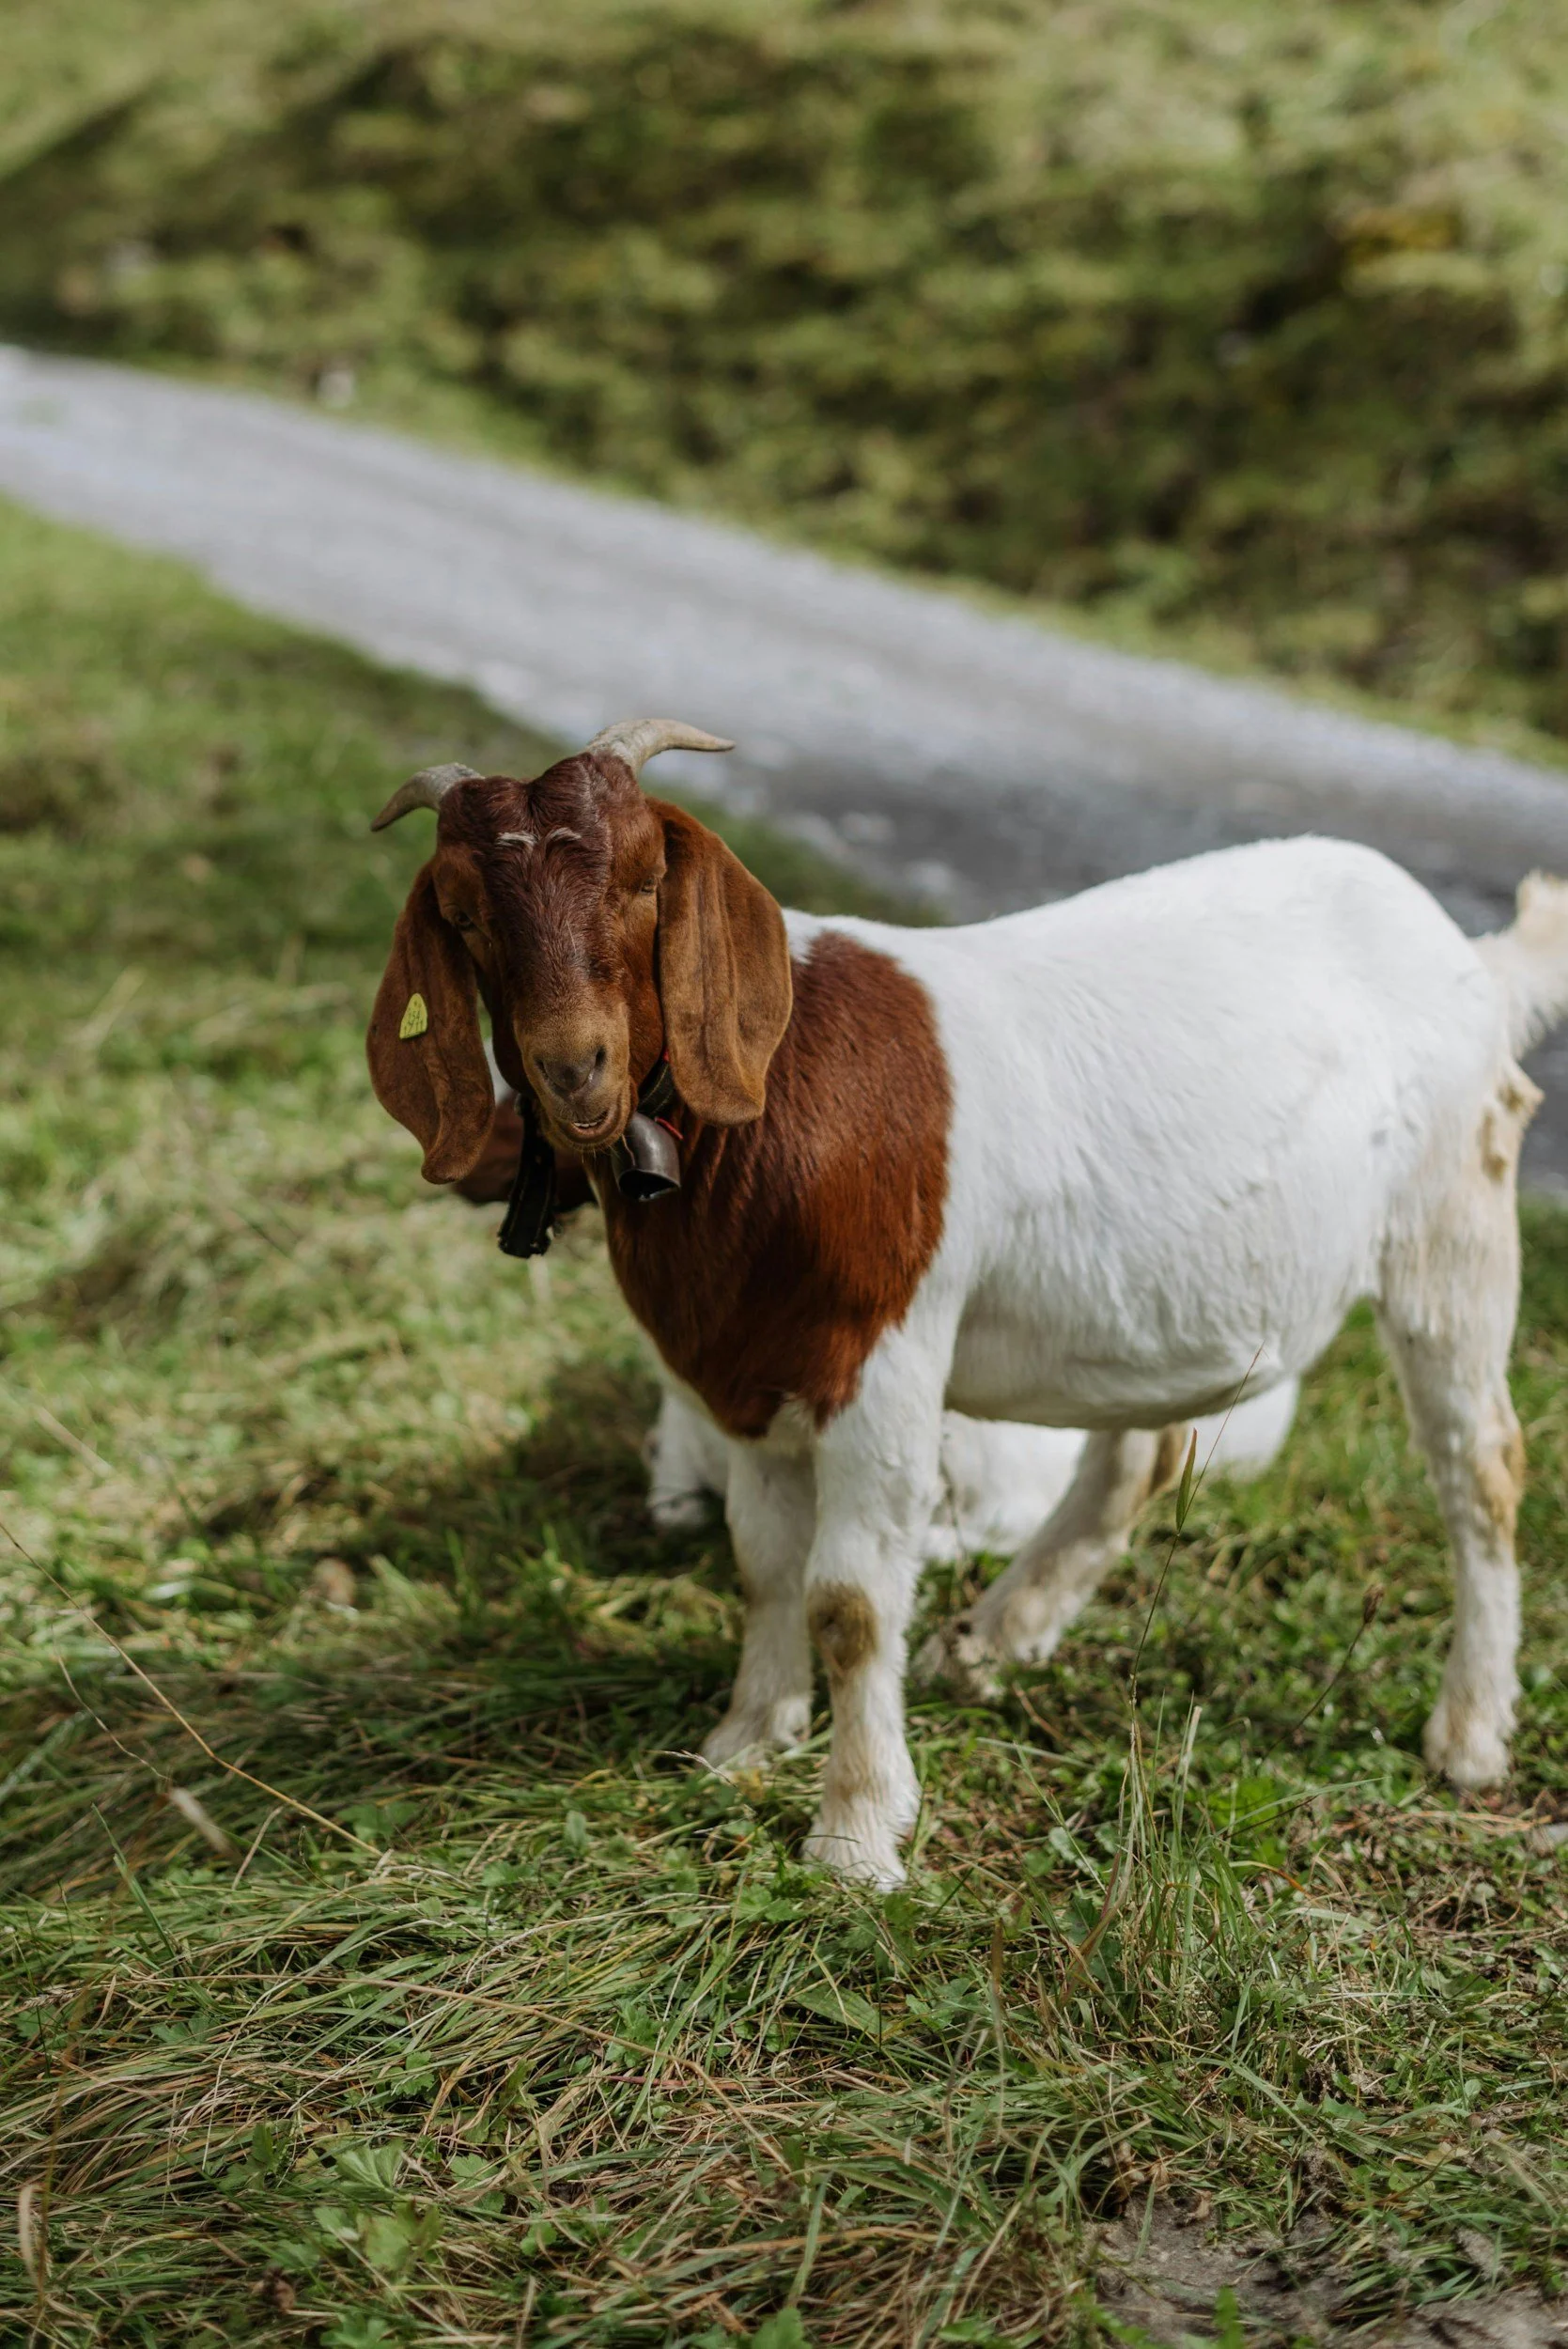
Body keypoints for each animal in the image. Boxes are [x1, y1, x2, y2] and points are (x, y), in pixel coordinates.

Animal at [367, 720, 1568, 1887]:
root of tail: (1463, 955)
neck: (758, 1111)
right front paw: (745, 1742)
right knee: (1143, 1452)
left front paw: (856, 1838)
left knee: (1481, 1463)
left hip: (1453, 1220)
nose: (574, 1067)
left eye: (644, 877)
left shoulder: (884, 1358)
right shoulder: (745, 1373)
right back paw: (991, 1640)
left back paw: (1468, 1733)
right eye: (462, 912)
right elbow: (763, 1565)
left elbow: (847, 1600)